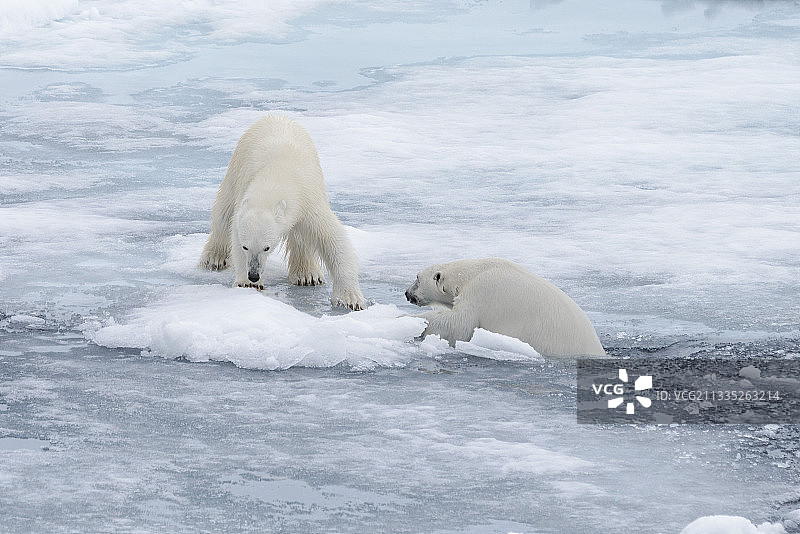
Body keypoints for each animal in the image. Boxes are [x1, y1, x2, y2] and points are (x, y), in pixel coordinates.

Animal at [198, 114, 366, 311]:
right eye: (245, 246)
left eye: (267, 247)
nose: (253, 275)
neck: (277, 175)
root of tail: (275, 115)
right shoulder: (245, 192)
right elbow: (234, 231)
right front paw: (246, 283)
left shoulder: (309, 201)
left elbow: (333, 238)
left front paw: (350, 299)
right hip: (236, 166)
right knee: (223, 214)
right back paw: (214, 258)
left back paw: (308, 274)